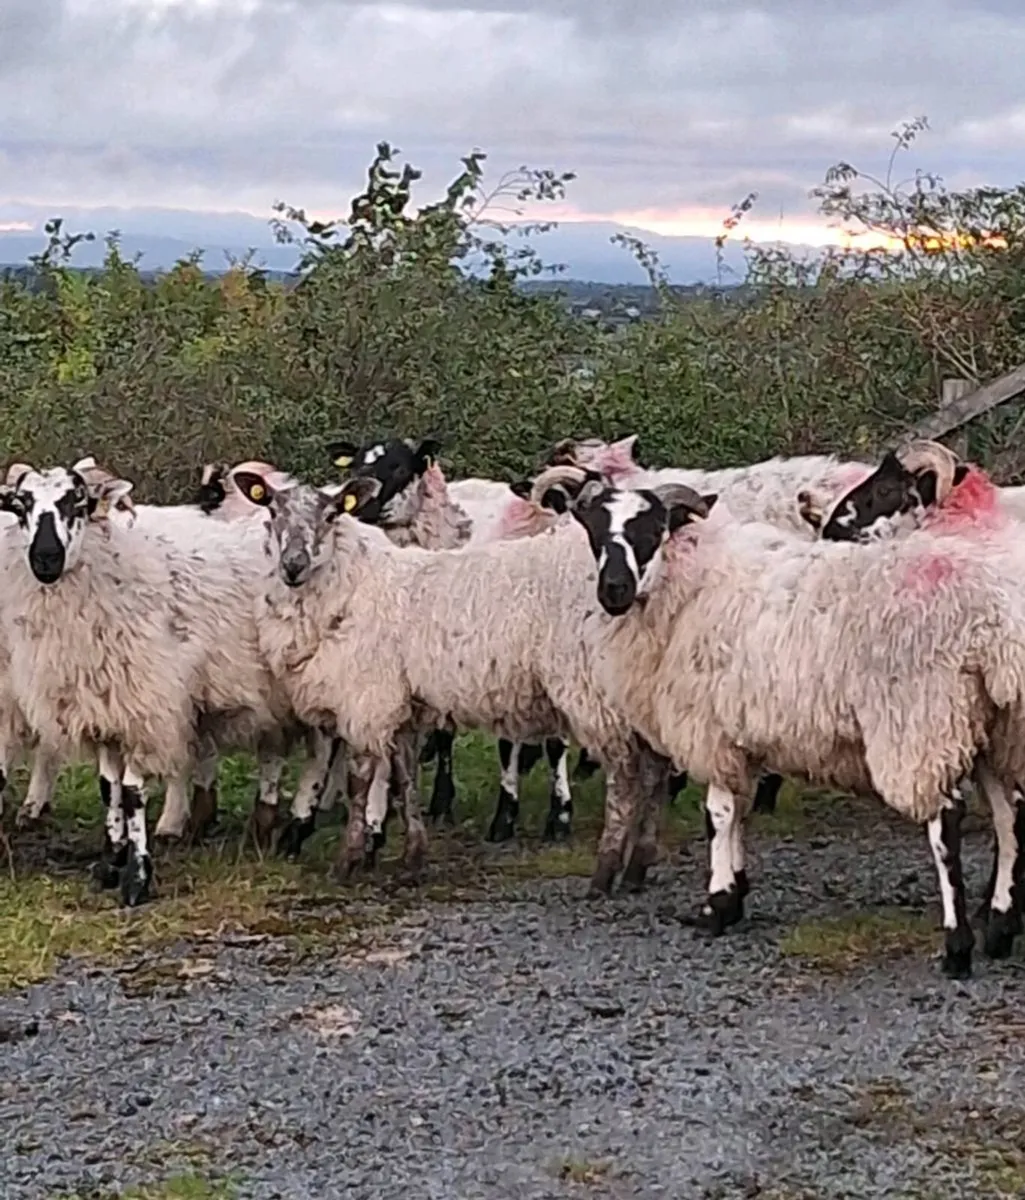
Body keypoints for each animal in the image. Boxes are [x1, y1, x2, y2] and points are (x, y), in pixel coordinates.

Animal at [236, 467, 666, 895]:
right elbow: (405, 777)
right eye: (273, 511)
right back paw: (637, 866)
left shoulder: (366, 699)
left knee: (625, 779)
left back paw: (606, 871)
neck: (353, 584)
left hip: (595, 690)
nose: (293, 565)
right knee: (654, 772)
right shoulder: (401, 704)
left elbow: (361, 782)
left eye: (330, 516)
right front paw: (413, 856)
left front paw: (348, 860)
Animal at [569, 477, 1025, 979]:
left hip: (920, 723)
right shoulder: (741, 734)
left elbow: (718, 815)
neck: (694, 582)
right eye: (594, 531)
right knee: (1008, 815)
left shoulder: (711, 729)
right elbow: (740, 811)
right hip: (993, 730)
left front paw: (716, 906)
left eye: (651, 529)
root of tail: (992, 628)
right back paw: (999, 927)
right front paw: (736, 893)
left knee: (946, 825)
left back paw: (957, 946)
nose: (614, 589)